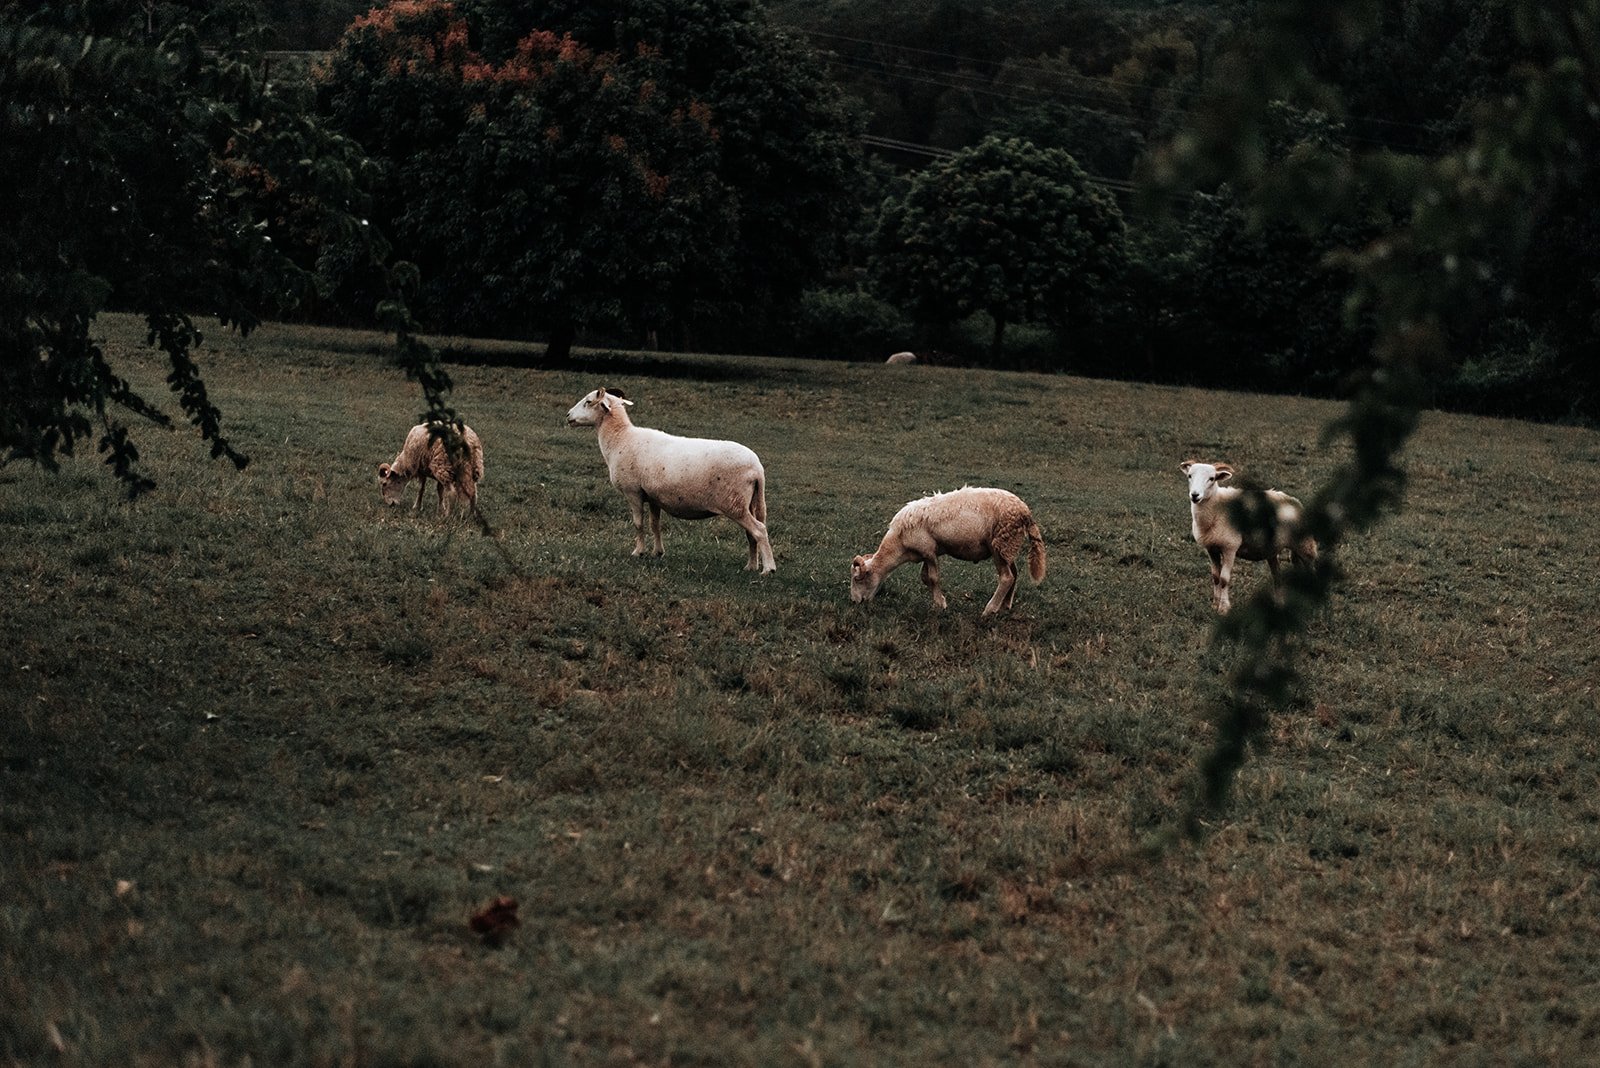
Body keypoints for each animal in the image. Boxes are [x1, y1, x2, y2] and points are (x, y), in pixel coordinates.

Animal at [569, 388, 780, 575]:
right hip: (748, 502)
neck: (620, 438)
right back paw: (751, 566)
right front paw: (657, 552)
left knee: (759, 530)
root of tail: (757, 469)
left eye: (588, 402)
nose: (568, 416)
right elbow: (655, 524)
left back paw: (768, 569)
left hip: (734, 504)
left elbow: (638, 524)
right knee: (751, 534)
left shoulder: (633, 492)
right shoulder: (653, 496)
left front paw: (638, 552)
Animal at [851, 486, 1049, 613]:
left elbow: (932, 577)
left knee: (1007, 577)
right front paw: (937, 601)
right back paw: (1005, 605)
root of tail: (1025, 512)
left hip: (999, 545)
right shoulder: (928, 552)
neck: (899, 545)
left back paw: (989, 610)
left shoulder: (928, 551)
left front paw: (941, 605)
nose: (855, 602)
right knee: (1014, 574)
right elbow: (925, 577)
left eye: (858, 579)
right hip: (1008, 546)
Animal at [1184, 454, 1318, 613]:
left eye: (1212, 478)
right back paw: (1280, 604)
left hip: (1304, 545)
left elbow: (1224, 579)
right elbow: (1215, 577)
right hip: (1274, 551)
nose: (1195, 495)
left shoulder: (1230, 547)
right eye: (1190, 475)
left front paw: (1224, 608)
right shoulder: (1212, 548)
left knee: (1312, 573)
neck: (1216, 507)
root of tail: (1295, 501)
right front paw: (1215, 605)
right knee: (1278, 576)